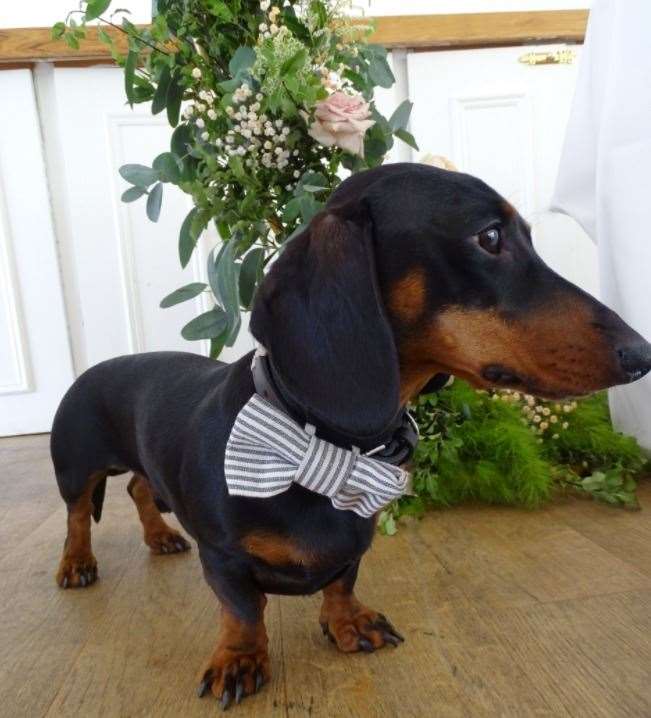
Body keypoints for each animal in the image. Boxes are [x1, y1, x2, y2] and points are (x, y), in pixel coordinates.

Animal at [52, 163, 651, 708]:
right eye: (489, 237)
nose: (642, 354)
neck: (324, 446)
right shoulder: (222, 555)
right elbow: (243, 609)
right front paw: (240, 659)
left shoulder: (355, 541)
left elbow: (342, 581)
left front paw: (350, 623)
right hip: (75, 466)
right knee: (79, 515)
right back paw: (76, 564)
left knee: (137, 488)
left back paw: (159, 536)